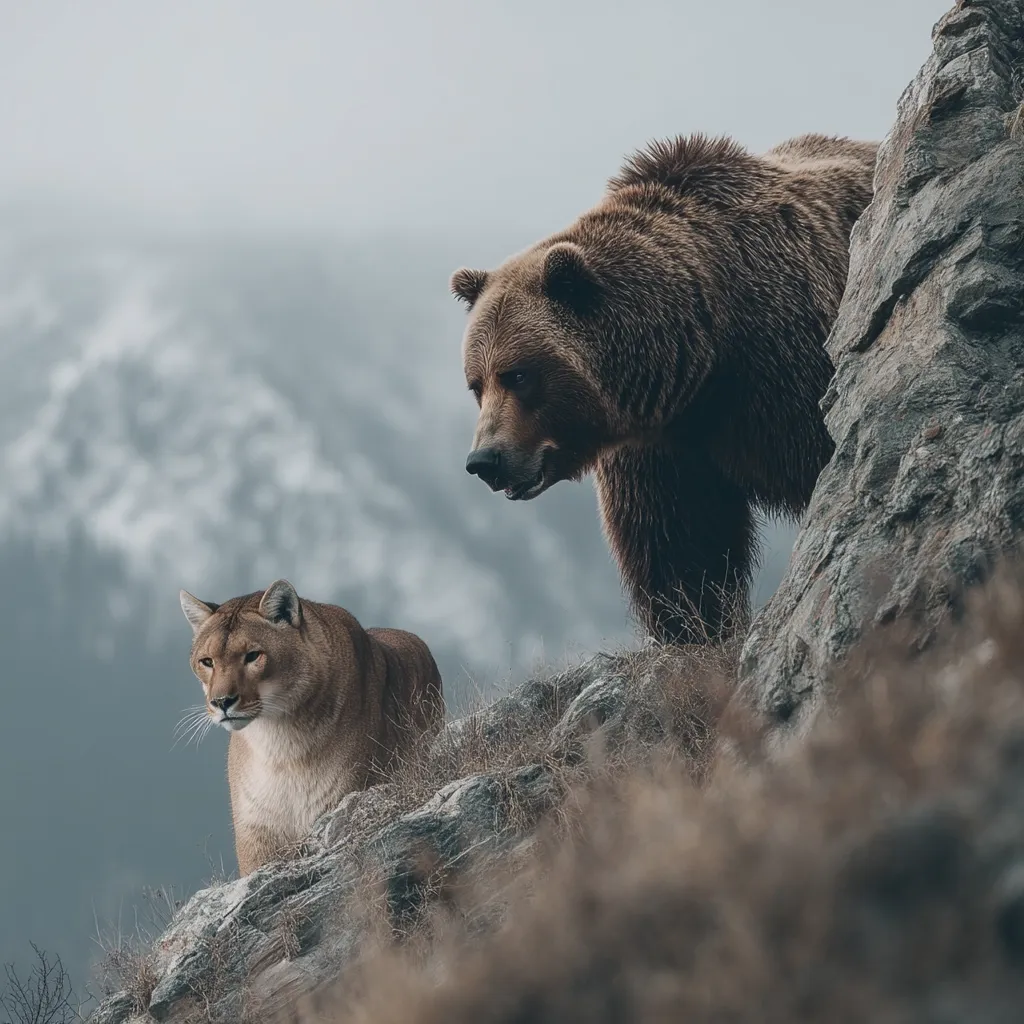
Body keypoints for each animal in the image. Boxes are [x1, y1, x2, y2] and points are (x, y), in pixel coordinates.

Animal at [452, 132, 877, 645]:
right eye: (476, 384)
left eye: (518, 374)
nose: (485, 460)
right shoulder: (661, 444)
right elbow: (678, 544)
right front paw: (694, 628)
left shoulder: (782, 363)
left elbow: (824, 450)